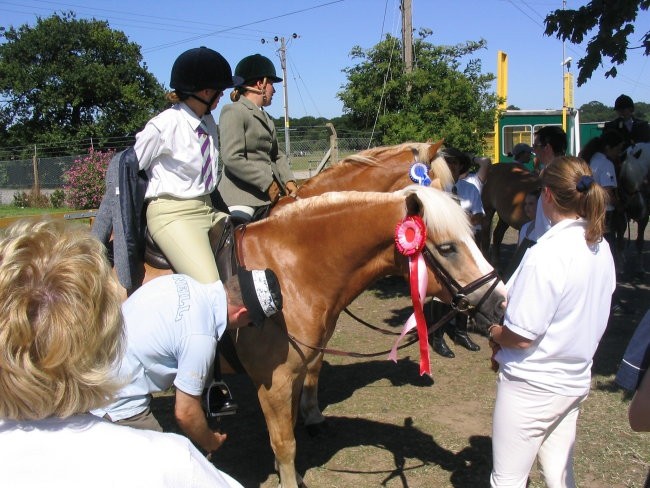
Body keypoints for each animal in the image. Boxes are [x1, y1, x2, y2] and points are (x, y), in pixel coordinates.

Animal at [139, 185, 504, 486]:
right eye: (448, 247)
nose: (500, 304)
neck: (289, 271)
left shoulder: (296, 373)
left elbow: (289, 427)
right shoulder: (274, 384)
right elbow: (285, 444)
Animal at [612, 141, 648, 272]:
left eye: (643, 178)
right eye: (623, 179)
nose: (638, 209)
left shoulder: (644, 217)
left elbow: (640, 241)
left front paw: (640, 267)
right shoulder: (619, 215)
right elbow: (620, 241)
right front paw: (620, 267)